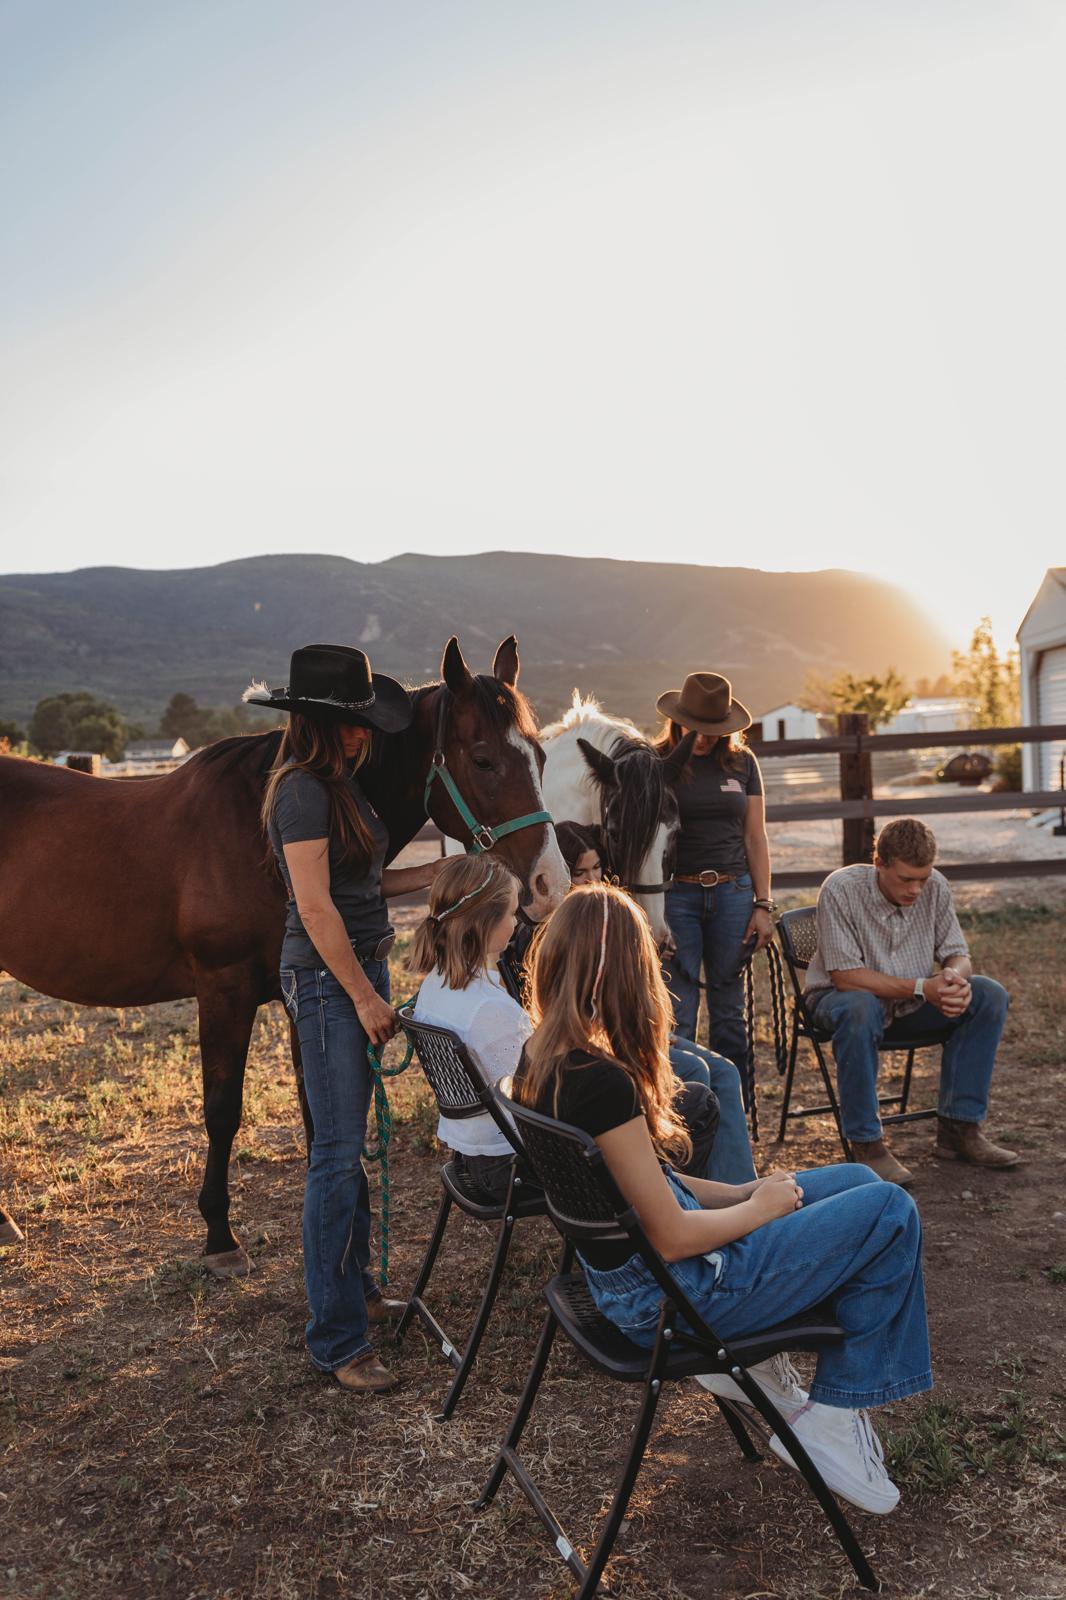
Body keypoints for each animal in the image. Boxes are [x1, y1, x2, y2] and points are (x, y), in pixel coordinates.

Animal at [0, 630, 569, 1267]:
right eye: (483, 759)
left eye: (541, 757)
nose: (549, 885)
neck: (256, 831)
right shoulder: (223, 990)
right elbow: (222, 1109)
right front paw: (219, 1236)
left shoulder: (308, 1000)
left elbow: (318, 1114)